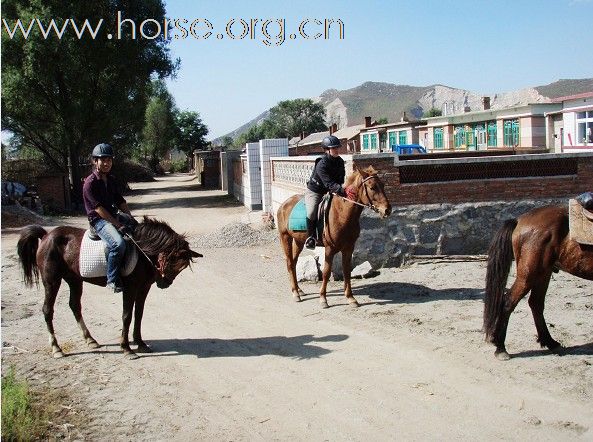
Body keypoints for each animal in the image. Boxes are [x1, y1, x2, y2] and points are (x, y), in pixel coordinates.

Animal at [16, 218, 201, 360]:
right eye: (171, 262)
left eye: (182, 268)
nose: (164, 283)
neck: (142, 252)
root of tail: (46, 236)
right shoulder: (130, 288)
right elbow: (127, 316)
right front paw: (126, 348)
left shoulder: (143, 288)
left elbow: (139, 314)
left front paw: (140, 343)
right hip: (51, 281)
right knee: (48, 310)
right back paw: (57, 348)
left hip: (74, 280)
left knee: (75, 305)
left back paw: (90, 339)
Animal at [278, 166, 394, 308]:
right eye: (372, 187)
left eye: (382, 185)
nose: (387, 210)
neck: (342, 213)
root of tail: (284, 204)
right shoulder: (329, 249)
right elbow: (326, 272)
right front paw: (323, 298)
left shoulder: (348, 248)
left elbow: (347, 271)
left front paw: (350, 298)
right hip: (285, 238)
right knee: (290, 263)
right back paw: (295, 293)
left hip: (299, 241)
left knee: (293, 263)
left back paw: (299, 290)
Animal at [484, 205, 588, 360]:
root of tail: (519, 220)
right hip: (529, 275)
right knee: (509, 302)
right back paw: (501, 347)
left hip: (543, 273)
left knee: (536, 303)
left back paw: (549, 341)